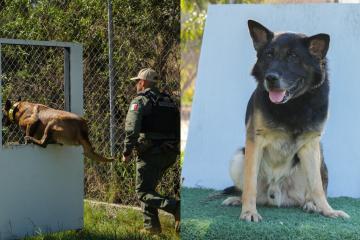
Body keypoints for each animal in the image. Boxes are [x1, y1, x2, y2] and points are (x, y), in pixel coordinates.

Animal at [221, 20, 350, 221]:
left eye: (293, 57)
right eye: (269, 54)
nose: (270, 78)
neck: (293, 103)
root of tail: (276, 195)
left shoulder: (310, 145)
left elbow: (317, 187)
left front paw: (327, 210)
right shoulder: (255, 141)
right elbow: (250, 184)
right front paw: (249, 211)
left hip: (319, 156)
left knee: (312, 190)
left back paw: (311, 204)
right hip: (238, 157)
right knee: (250, 189)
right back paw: (238, 200)